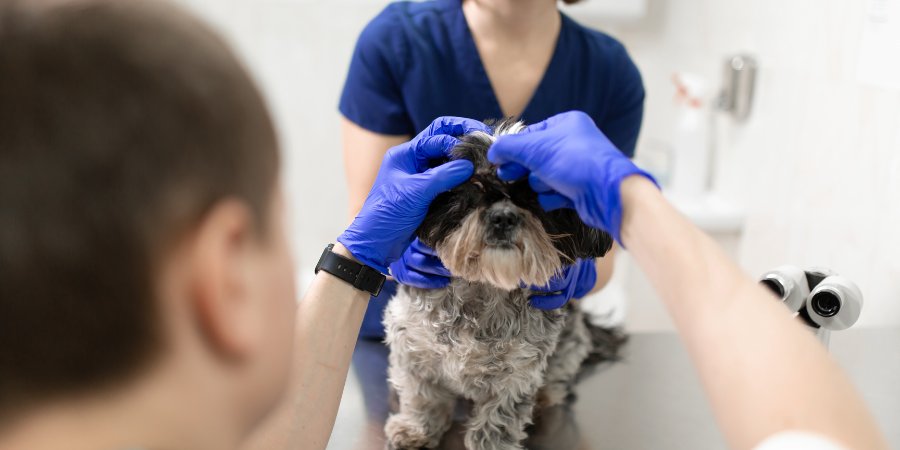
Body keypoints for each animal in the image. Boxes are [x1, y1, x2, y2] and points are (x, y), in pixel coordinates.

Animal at [384, 119, 624, 450]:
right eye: (473, 187)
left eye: (534, 196)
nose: (503, 217)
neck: (485, 285)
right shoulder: (411, 346)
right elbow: (422, 395)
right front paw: (416, 429)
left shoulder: (518, 371)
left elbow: (498, 419)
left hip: (569, 346)